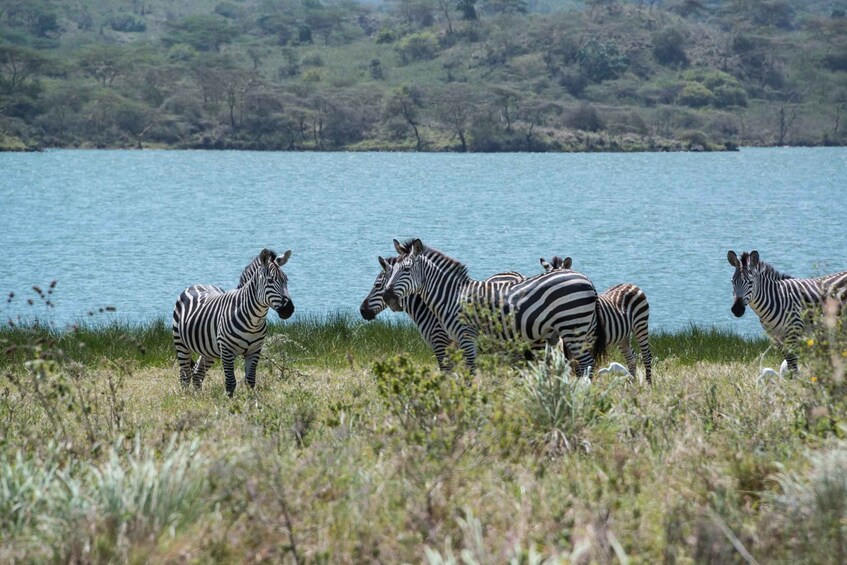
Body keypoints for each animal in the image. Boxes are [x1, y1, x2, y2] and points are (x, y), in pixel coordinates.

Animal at [172, 247, 294, 396]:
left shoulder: (254, 350)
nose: (289, 309)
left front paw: (251, 401)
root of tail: (196, 285)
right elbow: (230, 383)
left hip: (208, 350)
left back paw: (198, 397)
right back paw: (186, 397)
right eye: (270, 280)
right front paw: (229, 401)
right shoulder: (226, 350)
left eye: (286, 280)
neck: (254, 321)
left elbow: (250, 381)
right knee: (185, 375)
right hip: (181, 343)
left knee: (197, 373)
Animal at [380, 238, 608, 374]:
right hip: (573, 331)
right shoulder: (454, 342)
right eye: (392, 270)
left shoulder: (466, 338)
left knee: (586, 364)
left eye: (406, 269)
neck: (452, 296)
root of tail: (587, 279)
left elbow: (470, 373)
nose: (388, 296)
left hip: (573, 327)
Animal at [544, 256, 656, 384]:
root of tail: (631, 284)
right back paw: (631, 381)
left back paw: (648, 383)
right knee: (630, 356)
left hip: (640, 324)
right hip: (623, 335)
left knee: (646, 355)